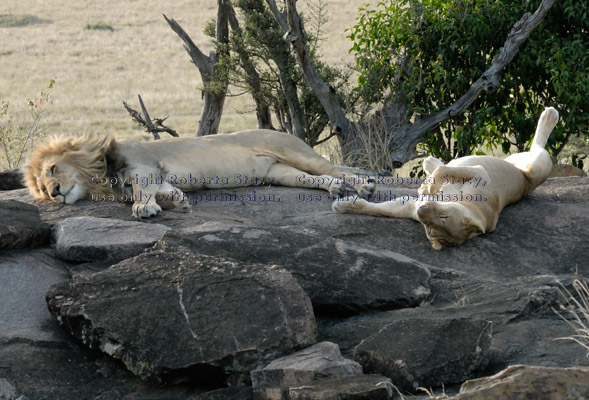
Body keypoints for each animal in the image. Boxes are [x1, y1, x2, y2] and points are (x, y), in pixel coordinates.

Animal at [25, 129, 374, 219]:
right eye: (42, 187)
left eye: (53, 169)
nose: (55, 192)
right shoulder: (157, 175)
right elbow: (163, 191)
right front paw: (176, 201)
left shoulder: (144, 166)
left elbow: (139, 192)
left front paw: (144, 209)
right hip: (280, 173)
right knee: (320, 178)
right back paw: (336, 189)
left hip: (294, 152)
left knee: (334, 168)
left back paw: (364, 187)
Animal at [334, 107, 560, 250]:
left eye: (435, 225)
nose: (422, 209)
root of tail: (526, 181)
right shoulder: (479, 173)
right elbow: (379, 209)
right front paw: (344, 205)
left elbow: (386, 209)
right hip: (526, 164)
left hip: (540, 166)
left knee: (539, 146)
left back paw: (550, 115)